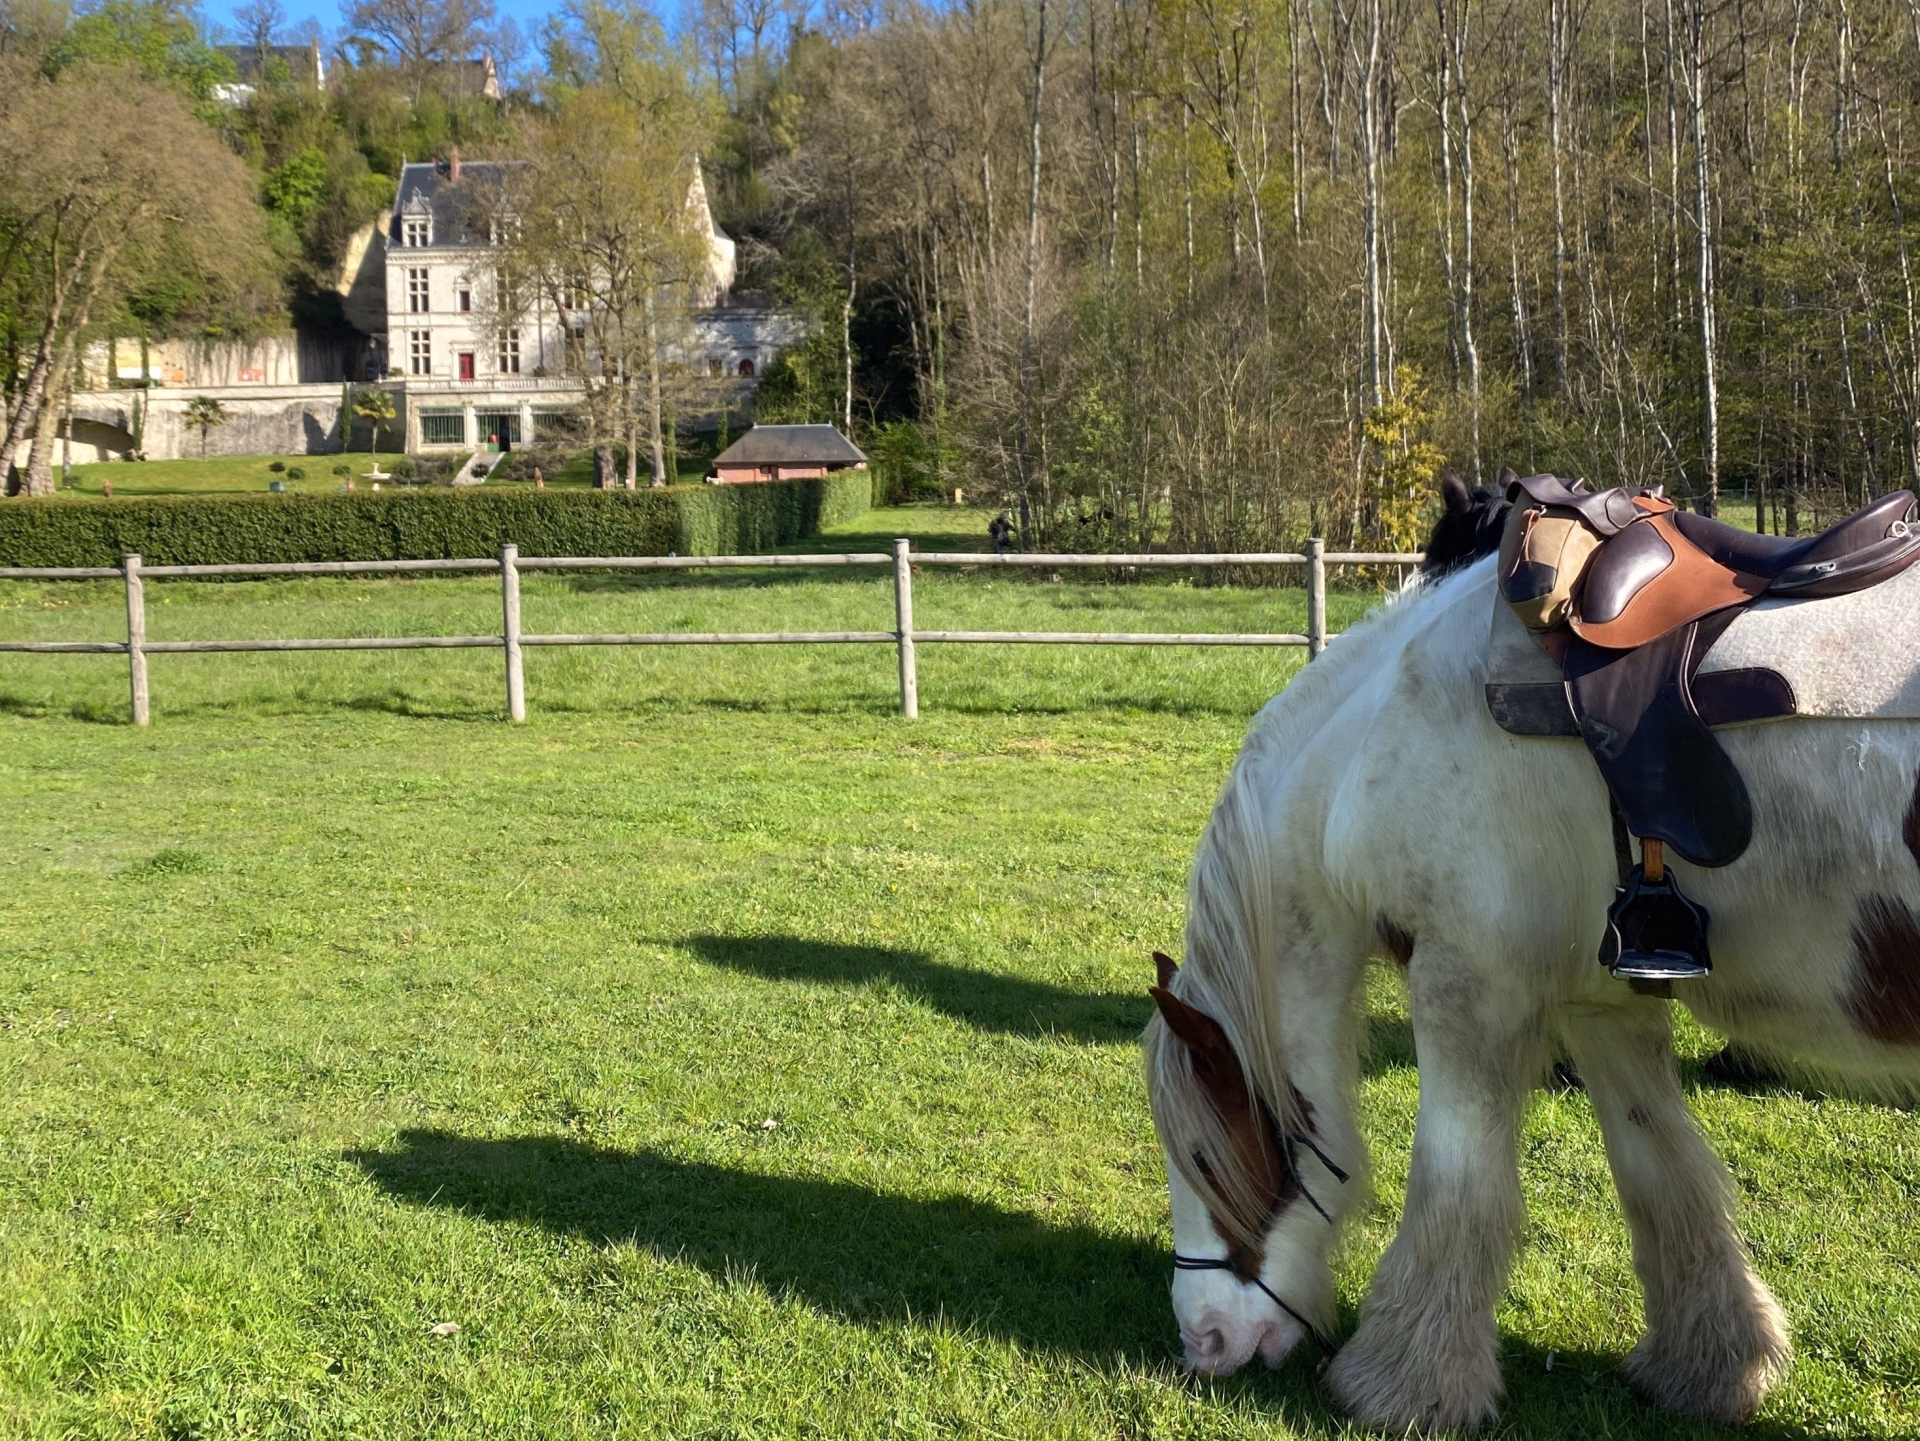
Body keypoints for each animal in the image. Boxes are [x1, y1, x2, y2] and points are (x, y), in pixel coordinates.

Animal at [1142, 476, 1920, 1432]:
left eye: (1204, 1156)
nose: (1206, 1340)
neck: (1384, 729)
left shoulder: (1467, 982)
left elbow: (1456, 1185)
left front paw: (1402, 1384)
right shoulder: (1605, 1002)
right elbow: (1662, 1168)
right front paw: (1711, 1364)